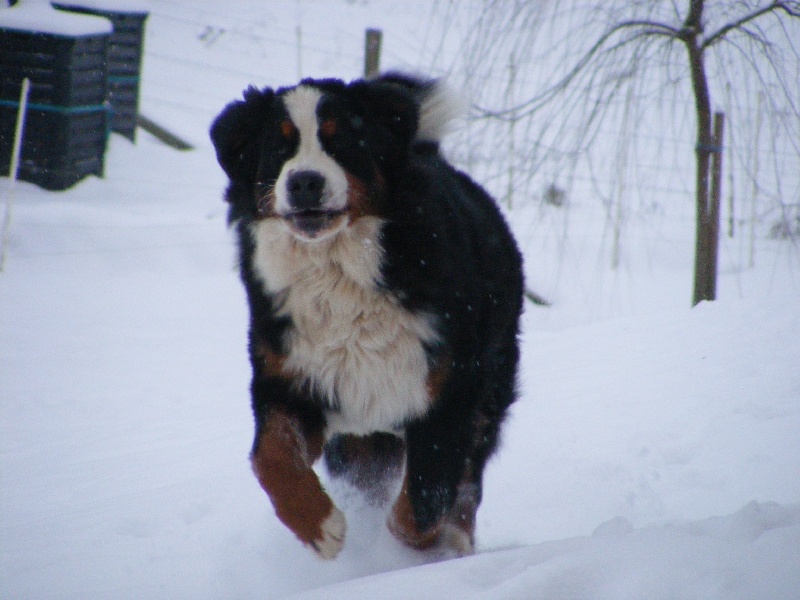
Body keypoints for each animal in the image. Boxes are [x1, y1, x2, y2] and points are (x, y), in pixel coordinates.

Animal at [212, 72, 524, 560]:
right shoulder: (289, 377)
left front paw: (412, 545)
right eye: (279, 148)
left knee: (467, 483)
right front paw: (320, 527)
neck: (337, 273)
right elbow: (271, 457)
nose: (304, 182)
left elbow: (426, 496)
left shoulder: (451, 388)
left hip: (489, 392)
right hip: (360, 443)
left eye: (341, 141)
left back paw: (455, 544)